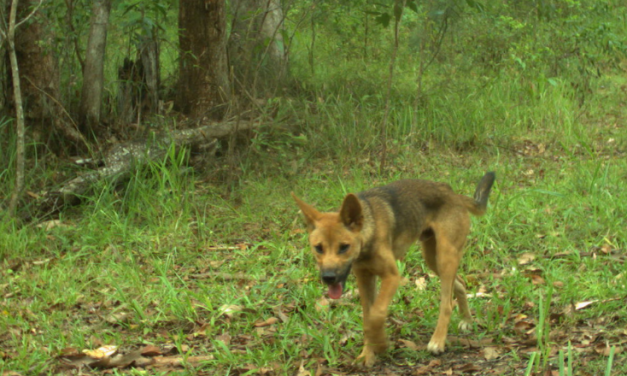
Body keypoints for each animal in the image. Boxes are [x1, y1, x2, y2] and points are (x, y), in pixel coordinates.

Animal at [294, 173, 496, 368]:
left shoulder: (391, 276)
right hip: (433, 258)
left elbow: (375, 315)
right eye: (318, 248)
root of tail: (452, 193)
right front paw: (367, 354)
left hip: (446, 256)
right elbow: (367, 318)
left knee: (446, 304)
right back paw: (467, 320)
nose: (328, 277)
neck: (368, 233)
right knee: (460, 284)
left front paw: (381, 344)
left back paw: (438, 341)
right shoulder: (365, 278)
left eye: (344, 247)